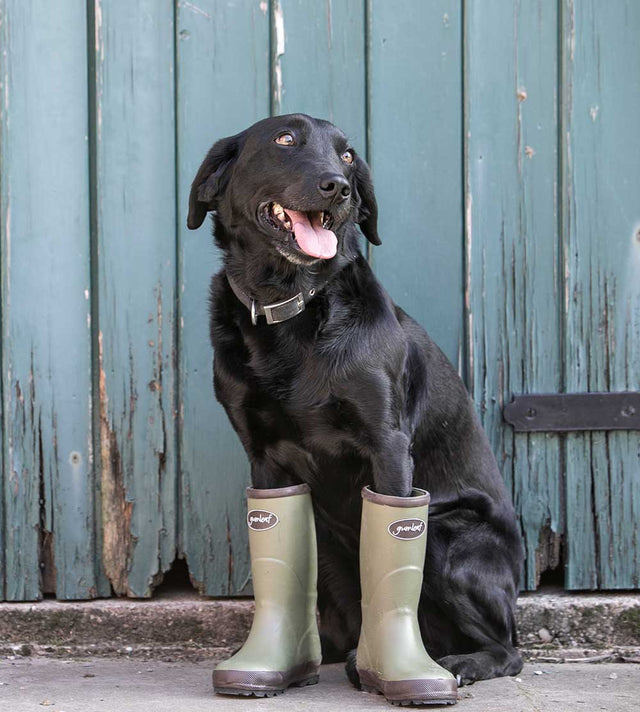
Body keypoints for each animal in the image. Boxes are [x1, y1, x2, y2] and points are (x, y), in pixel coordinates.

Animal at [188, 112, 524, 684]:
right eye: (285, 140)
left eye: (347, 155)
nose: (339, 188)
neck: (291, 306)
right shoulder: (264, 458)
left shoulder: (387, 444)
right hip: (328, 545)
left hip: (445, 536)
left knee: (510, 648)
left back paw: (456, 663)